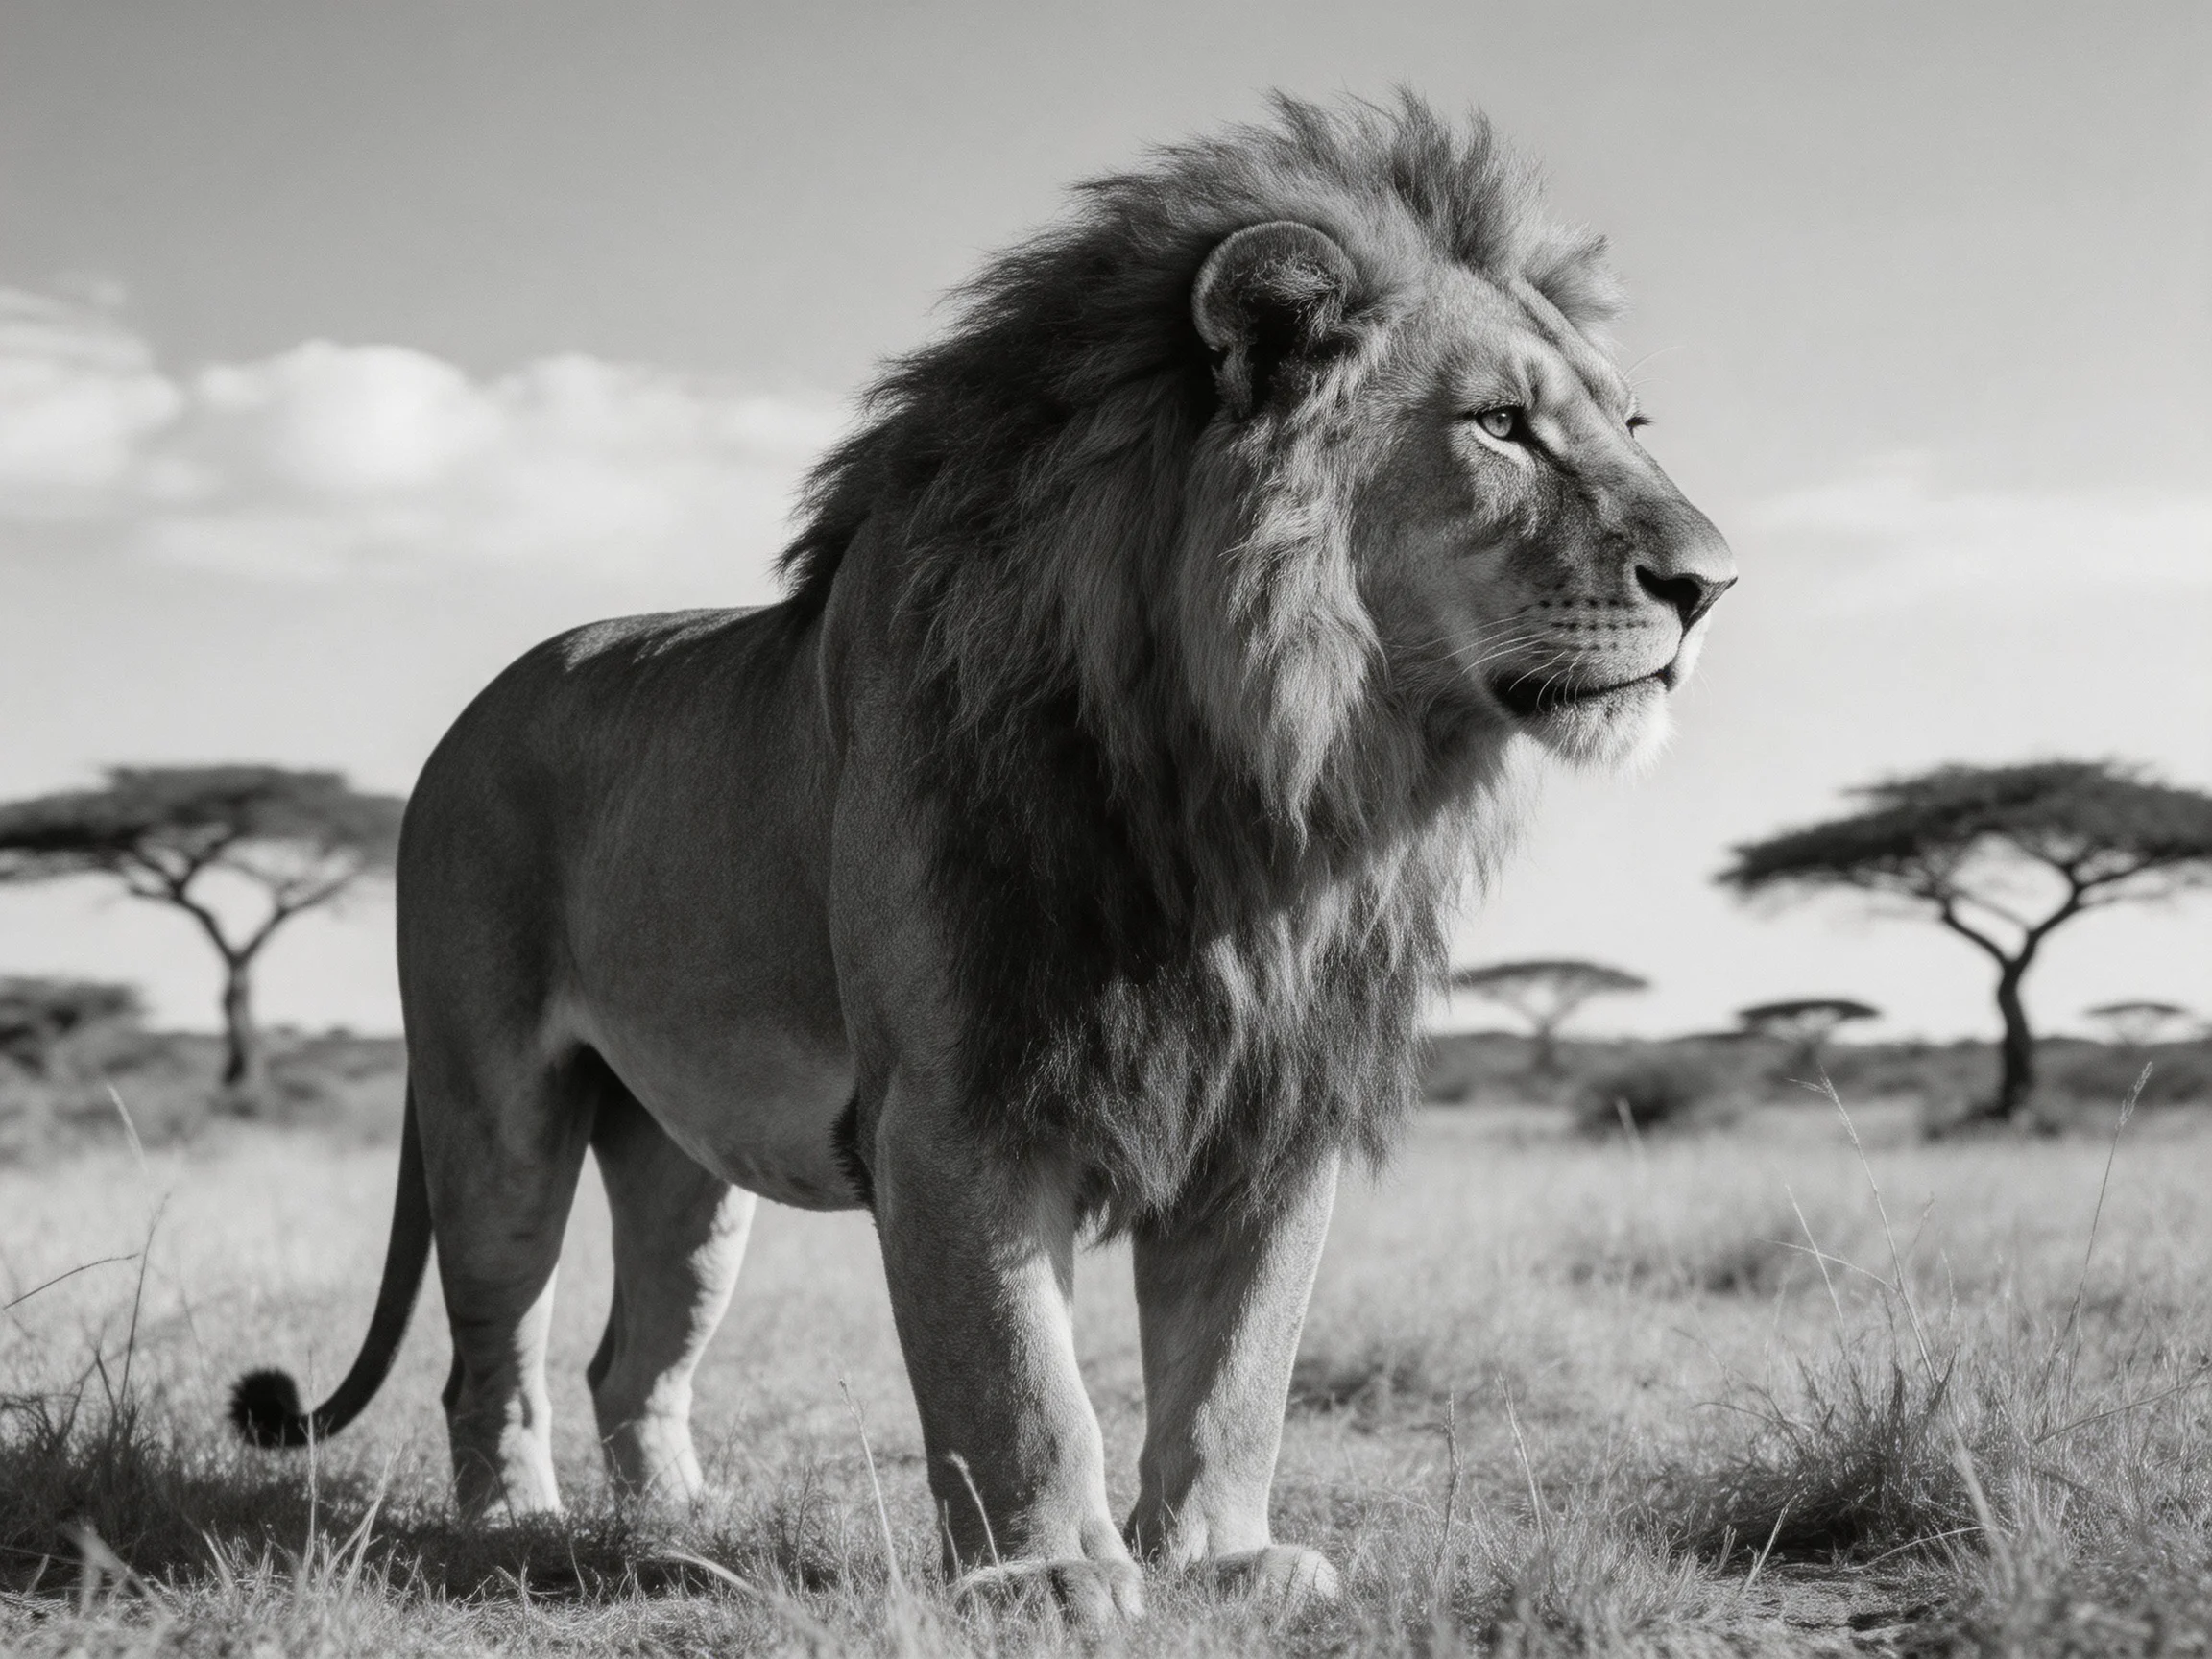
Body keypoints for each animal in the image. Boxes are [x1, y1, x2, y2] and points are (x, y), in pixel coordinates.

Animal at [230, 93, 1731, 1620]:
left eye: (1630, 424)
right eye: (1500, 426)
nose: (1713, 582)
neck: (1257, 782)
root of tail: (467, 719)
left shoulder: (1267, 1099)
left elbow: (1238, 1366)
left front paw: (1224, 1559)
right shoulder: (958, 1102)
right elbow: (1016, 1374)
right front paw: (1051, 1573)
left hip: (680, 1155)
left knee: (631, 1355)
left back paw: (674, 1529)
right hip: (495, 1109)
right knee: (494, 1350)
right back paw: (515, 1532)